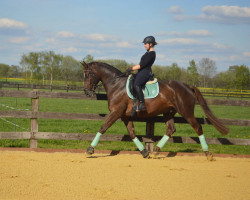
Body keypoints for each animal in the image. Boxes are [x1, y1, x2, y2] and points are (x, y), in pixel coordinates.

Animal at [81, 61, 229, 159]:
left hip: (186, 112)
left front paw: (90, 149)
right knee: (170, 129)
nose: (87, 92)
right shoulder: (125, 116)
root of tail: (187, 86)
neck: (116, 84)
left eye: (88, 75)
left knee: (197, 127)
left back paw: (208, 153)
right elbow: (132, 133)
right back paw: (156, 150)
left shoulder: (116, 112)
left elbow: (103, 128)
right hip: (168, 112)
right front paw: (144, 152)